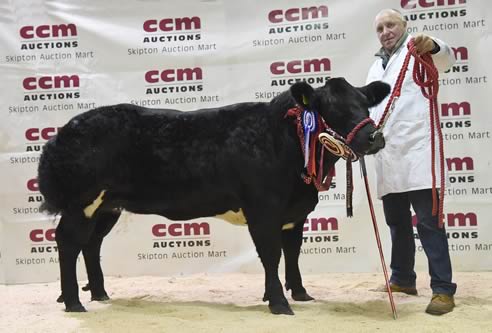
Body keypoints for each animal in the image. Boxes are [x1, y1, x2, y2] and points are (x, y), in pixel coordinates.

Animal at [38, 78, 390, 314]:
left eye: (364, 103)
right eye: (332, 108)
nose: (374, 137)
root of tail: (62, 132)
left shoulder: (295, 212)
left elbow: (292, 252)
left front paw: (300, 293)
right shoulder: (263, 209)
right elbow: (272, 254)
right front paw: (278, 303)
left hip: (107, 206)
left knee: (91, 244)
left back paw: (99, 293)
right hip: (82, 202)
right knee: (68, 241)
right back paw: (73, 302)